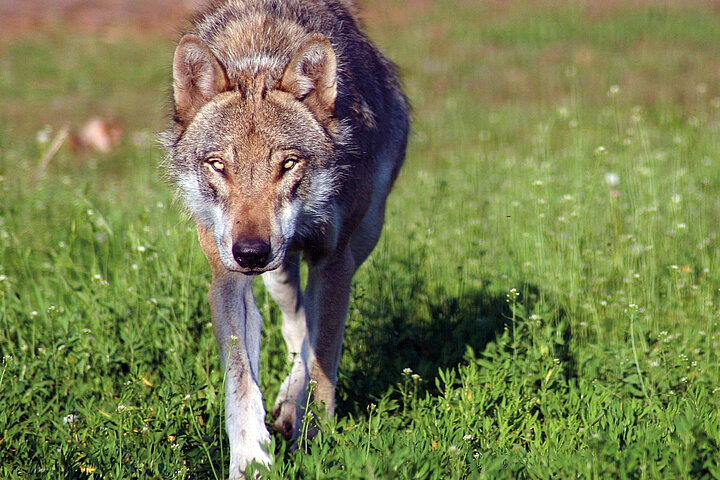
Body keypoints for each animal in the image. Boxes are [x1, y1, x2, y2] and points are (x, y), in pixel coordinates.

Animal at [165, 0, 410, 476]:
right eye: (219, 165)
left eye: (288, 164)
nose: (250, 252)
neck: (261, 57)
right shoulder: (227, 277)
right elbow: (241, 380)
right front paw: (250, 460)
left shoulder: (334, 262)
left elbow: (323, 361)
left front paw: (311, 439)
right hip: (278, 275)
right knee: (295, 322)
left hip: (355, 244)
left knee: (309, 331)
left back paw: (290, 408)